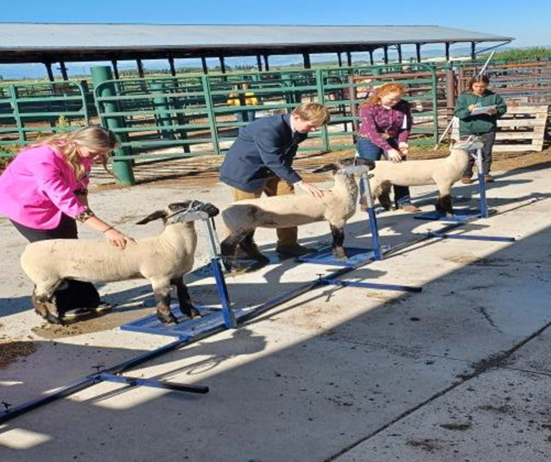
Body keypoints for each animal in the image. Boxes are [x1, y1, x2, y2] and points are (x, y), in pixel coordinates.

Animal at [20, 199, 218, 324]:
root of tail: (25, 252)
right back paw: (52, 319)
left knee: (39, 295)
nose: (212, 208)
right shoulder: (159, 277)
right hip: (47, 278)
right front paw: (169, 319)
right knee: (37, 298)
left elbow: (185, 295)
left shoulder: (178, 276)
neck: (169, 243)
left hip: (51, 279)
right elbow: (164, 300)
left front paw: (193, 313)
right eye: (176, 205)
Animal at [221, 157, 376, 272]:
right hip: (240, 226)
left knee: (245, 243)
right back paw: (231, 267)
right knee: (227, 245)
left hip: (248, 226)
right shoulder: (337, 219)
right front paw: (341, 256)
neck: (339, 193)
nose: (372, 163)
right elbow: (339, 238)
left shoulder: (332, 219)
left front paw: (334, 253)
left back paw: (261, 259)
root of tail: (224, 210)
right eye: (347, 161)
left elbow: (335, 238)